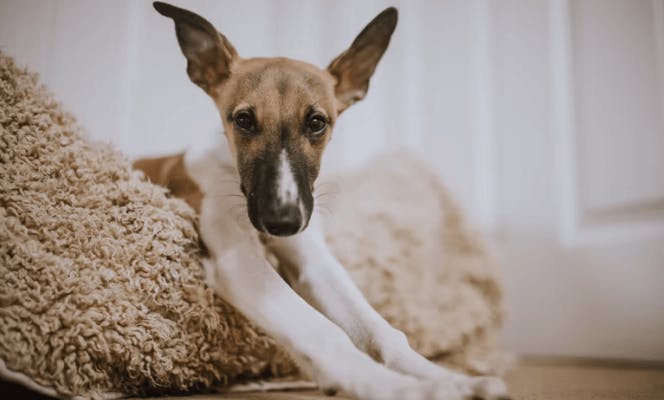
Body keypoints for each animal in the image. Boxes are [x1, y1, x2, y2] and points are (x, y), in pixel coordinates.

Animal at [134, 3, 508, 400]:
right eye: (244, 119)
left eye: (316, 122)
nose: (282, 222)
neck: (228, 170)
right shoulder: (236, 259)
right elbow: (323, 331)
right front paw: (400, 387)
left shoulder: (312, 260)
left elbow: (382, 331)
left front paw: (450, 377)